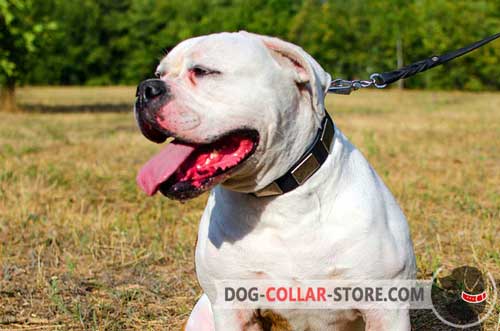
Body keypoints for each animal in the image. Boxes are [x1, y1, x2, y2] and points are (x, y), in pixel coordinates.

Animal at [135, 31, 416, 331]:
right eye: (159, 74)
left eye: (203, 71)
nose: (145, 89)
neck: (281, 197)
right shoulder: (232, 309)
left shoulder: (387, 310)